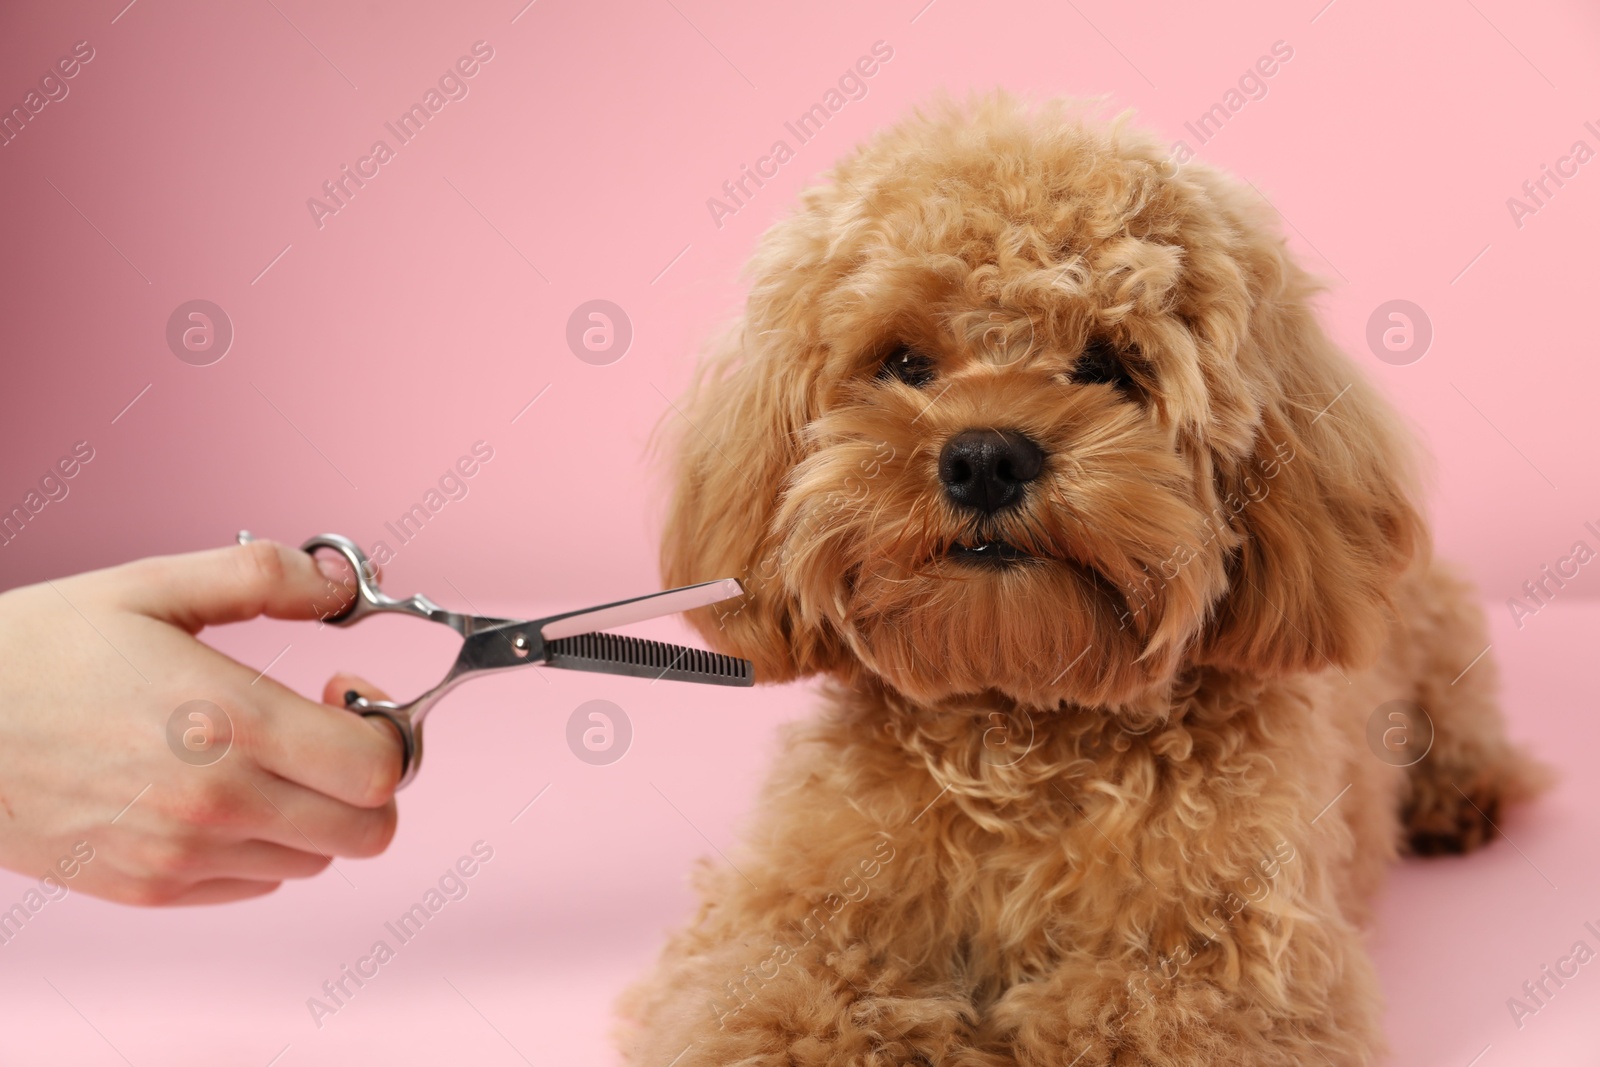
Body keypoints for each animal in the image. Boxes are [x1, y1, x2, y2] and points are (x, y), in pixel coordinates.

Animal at [617, 95, 1542, 1062]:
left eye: (1106, 364)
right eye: (904, 363)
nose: (986, 457)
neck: (1023, 727)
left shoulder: (1237, 969)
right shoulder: (780, 919)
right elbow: (779, 999)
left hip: (1444, 644)